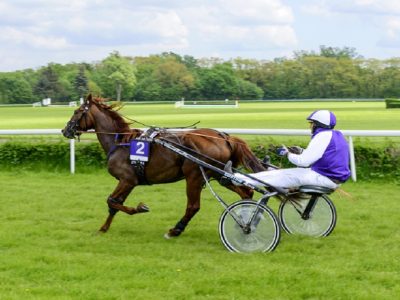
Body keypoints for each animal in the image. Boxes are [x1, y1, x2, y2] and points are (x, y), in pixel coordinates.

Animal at [61, 95, 266, 238]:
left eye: (77, 111)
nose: (65, 130)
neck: (120, 142)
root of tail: (224, 137)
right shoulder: (129, 181)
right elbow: (114, 204)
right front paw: (103, 228)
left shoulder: (127, 179)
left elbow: (111, 201)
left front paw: (140, 208)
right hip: (220, 175)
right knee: (246, 192)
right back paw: (248, 219)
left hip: (195, 176)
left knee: (193, 206)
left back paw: (175, 230)